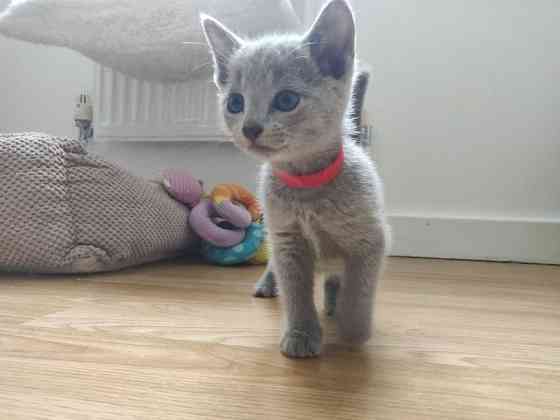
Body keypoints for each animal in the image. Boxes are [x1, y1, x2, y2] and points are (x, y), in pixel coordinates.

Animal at [201, 0, 390, 360]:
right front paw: (301, 334)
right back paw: (268, 284)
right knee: (276, 265)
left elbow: (359, 290)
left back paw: (332, 303)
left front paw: (352, 330)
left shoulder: (369, 239)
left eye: (286, 100)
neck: (307, 187)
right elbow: (296, 291)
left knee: (335, 279)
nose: (250, 128)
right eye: (235, 103)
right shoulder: (287, 237)